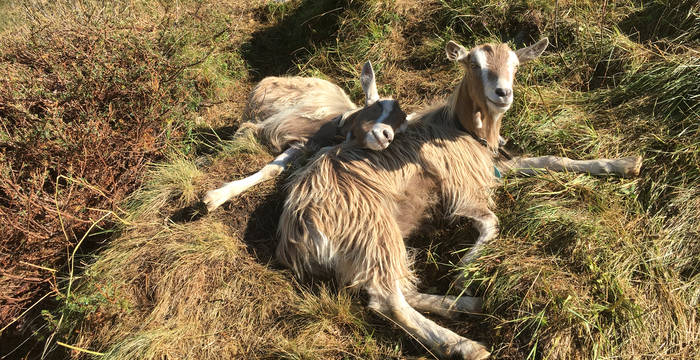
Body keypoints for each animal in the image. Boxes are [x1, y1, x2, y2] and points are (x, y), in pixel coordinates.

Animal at [202, 61, 408, 211]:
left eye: (399, 130)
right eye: (378, 105)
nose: (387, 136)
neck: (335, 124)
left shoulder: (303, 145)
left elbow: (273, 169)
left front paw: (217, 196)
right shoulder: (272, 127)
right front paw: (214, 195)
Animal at [276, 38, 644, 358]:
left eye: (515, 65)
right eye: (474, 64)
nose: (502, 93)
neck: (462, 131)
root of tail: (298, 235)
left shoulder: (492, 167)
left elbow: (550, 160)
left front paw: (623, 164)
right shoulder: (462, 192)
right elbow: (491, 222)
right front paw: (466, 269)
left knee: (402, 287)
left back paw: (464, 305)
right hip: (371, 230)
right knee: (387, 299)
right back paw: (463, 344)